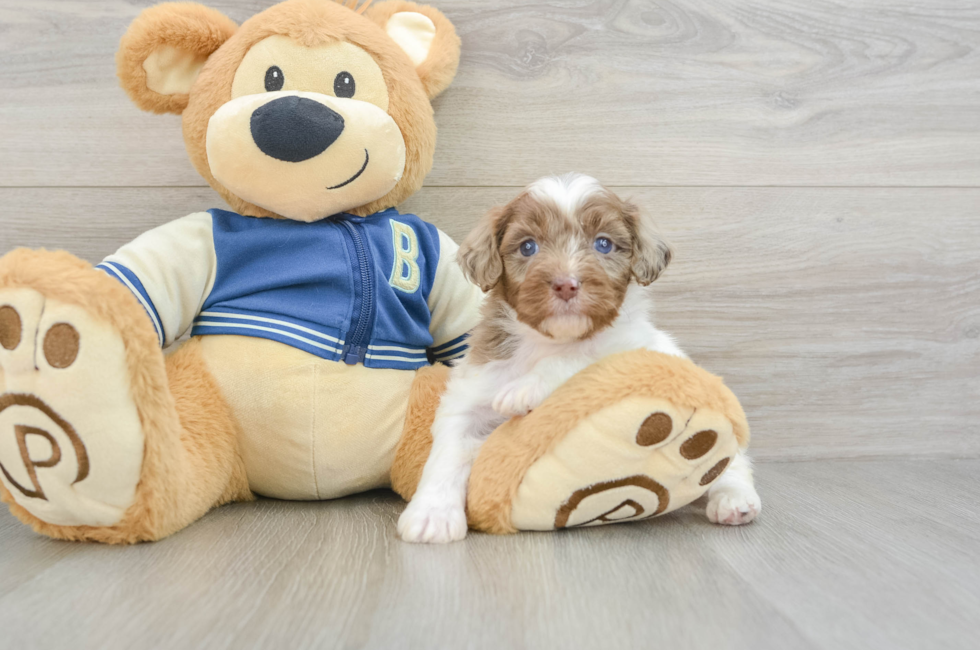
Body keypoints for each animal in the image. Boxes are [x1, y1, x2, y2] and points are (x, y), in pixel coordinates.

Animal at [394, 173, 760, 540]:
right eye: (528, 246)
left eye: (603, 244)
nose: (566, 285)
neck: (549, 341)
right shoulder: (473, 389)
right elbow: (447, 453)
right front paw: (432, 515)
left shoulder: (626, 347)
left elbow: (577, 357)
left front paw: (523, 389)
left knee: (730, 464)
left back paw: (734, 499)